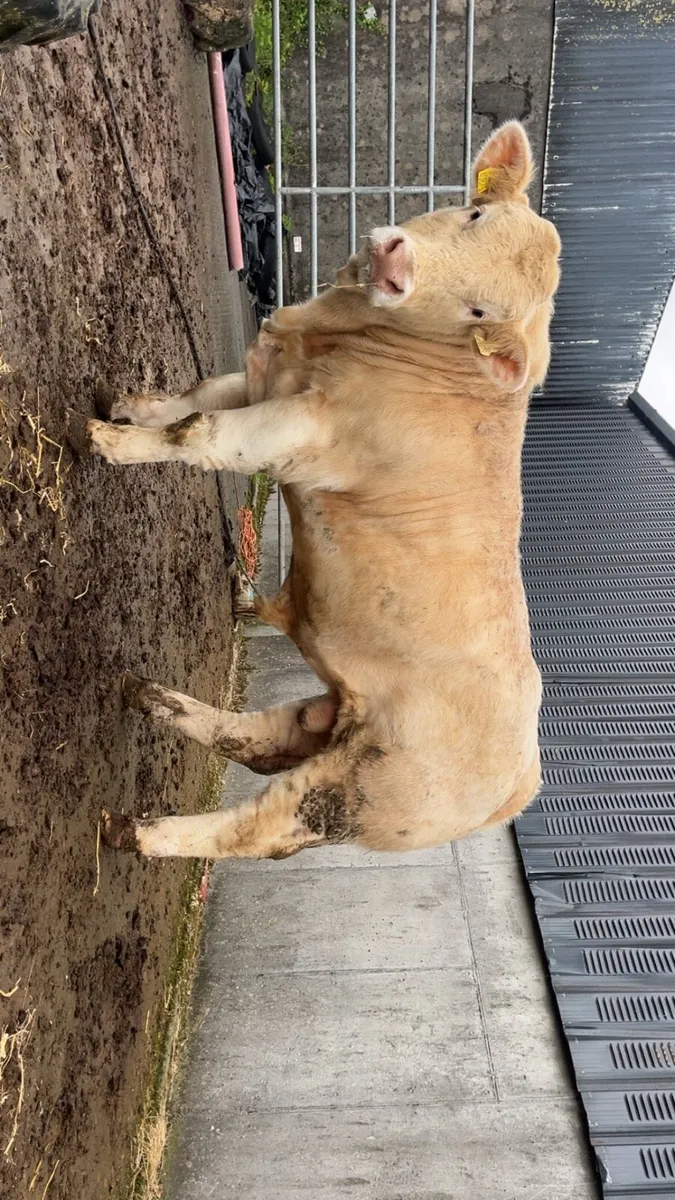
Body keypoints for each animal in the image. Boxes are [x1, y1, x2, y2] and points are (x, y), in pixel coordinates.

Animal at [87, 121, 561, 863]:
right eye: (473, 213)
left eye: (479, 309)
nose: (395, 262)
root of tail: (516, 790)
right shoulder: (261, 380)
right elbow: (190, 399)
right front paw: (124, 407)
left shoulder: (299, 430)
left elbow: (199, 432)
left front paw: (107, 441)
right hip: (329, 715)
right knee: (255, 738)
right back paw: (150, 694)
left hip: (366, 791)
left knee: (259, 826)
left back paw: (136, 831)